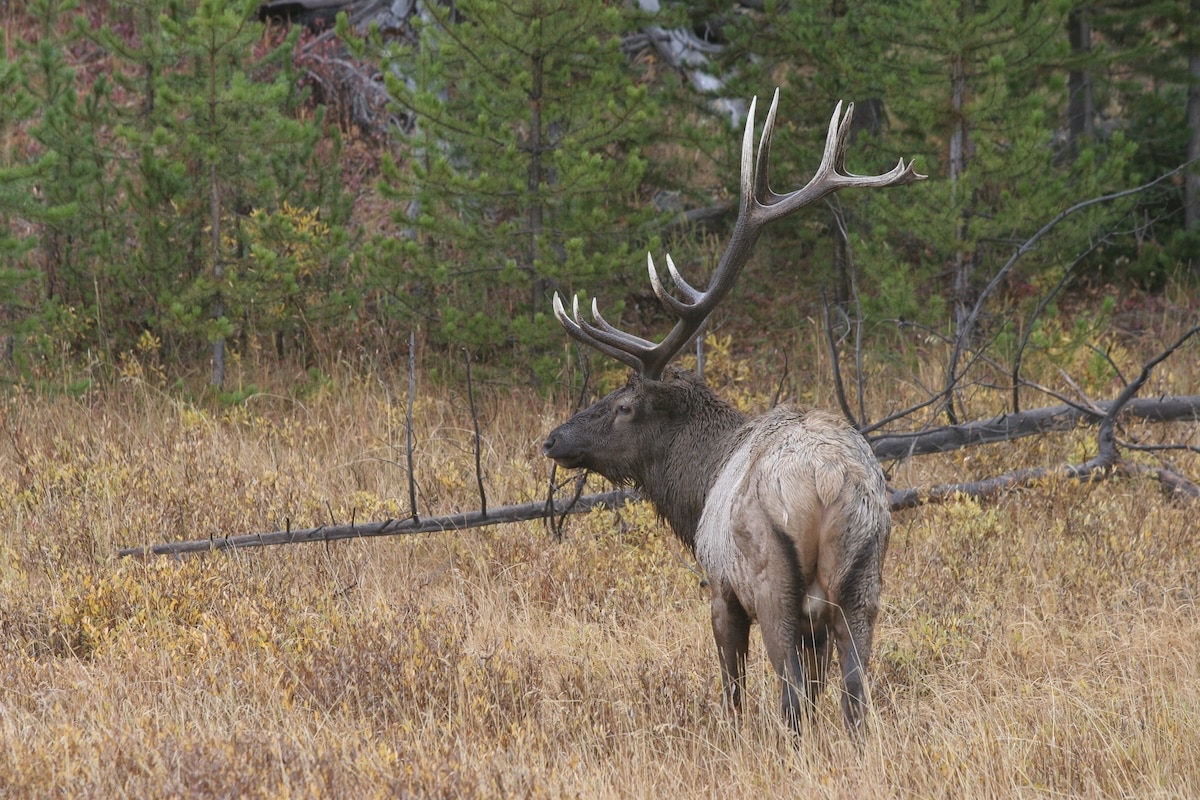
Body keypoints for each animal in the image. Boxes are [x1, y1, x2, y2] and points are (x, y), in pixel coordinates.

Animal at [541, 90, 924, 736]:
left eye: (623, 405)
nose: (552, 439)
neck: (696, 486)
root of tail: (828, 487)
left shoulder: (720, 587)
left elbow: (732, 688)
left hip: (771, 582)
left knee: (789, 694)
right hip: (865, 582)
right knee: (853, 695)